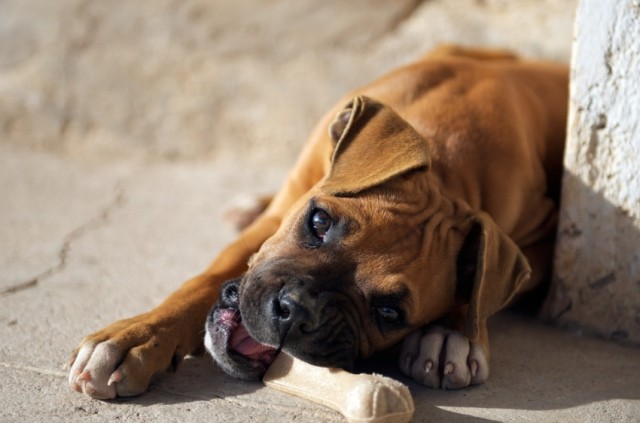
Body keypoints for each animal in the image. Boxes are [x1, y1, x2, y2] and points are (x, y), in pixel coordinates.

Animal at [70, 44, 568, 400]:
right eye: (319, 221)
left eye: (389, 313)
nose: (293, 312)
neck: (450, 160)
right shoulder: (280, 216)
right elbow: (204, 280)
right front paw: (136, 337)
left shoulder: (543, 240)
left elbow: (480, 289)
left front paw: (450, 335)